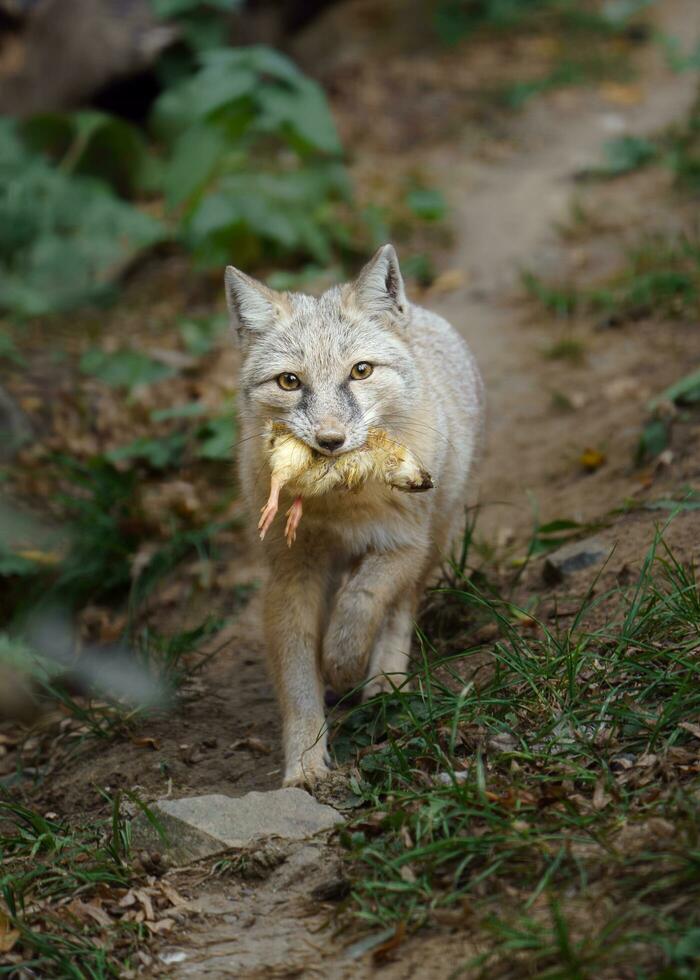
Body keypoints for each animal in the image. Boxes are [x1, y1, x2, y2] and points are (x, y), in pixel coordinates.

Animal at [227, 245, 484, 788]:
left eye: (360, 371)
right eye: (289, 381)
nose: (330, 441)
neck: (340, 505)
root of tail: (423, 315)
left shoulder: (404, 544)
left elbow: (362, 605)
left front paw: (344, 663)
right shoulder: (291, 572)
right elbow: (298, 679)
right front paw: (304, 765)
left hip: (436, 537)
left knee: (400, 609)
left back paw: (385, 683)